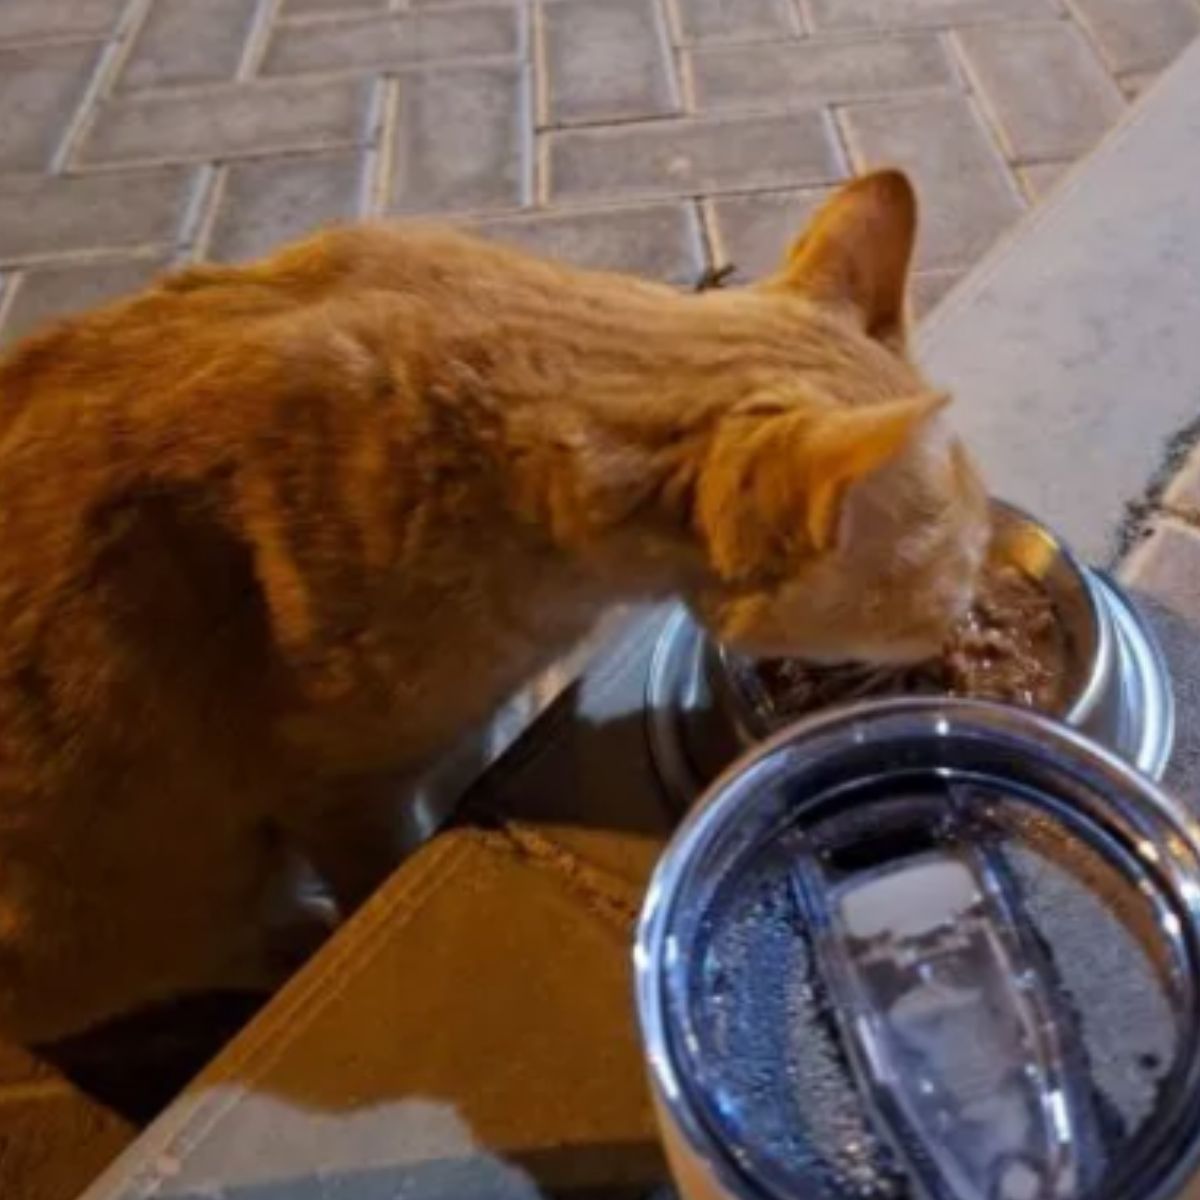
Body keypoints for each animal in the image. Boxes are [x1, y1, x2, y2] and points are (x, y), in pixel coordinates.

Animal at [0, 166, 988, 1041]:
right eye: (944, 577)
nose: (966, 622)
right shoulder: (339, 790)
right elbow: (382, 866)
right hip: (129, 901)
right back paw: (288, 938)